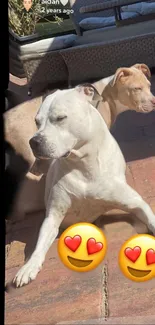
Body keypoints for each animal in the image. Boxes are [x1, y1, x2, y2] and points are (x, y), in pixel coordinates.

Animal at [13, 85, 155, 286]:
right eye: (36, 121)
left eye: (60, 118)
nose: (34, 141)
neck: (83, 164)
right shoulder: (53, 215)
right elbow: (39, 245)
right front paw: (28, 267)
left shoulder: (136, 202)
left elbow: (150, 218)